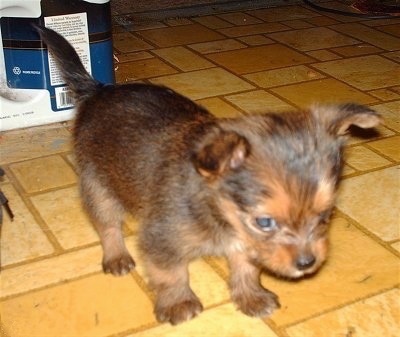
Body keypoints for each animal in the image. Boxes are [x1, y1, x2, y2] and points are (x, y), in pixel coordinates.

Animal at [36, 25, 382, 324]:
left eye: (325, 215)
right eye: (265, 222)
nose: (307, 263)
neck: (217, 210)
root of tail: (98, 91)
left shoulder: (243, 243)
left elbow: (246, 268)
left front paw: (251, 297)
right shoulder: (161, 239)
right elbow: (170, 274)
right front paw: (178, 304)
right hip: (97, 184)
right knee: (107, 224)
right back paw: (117, 257)